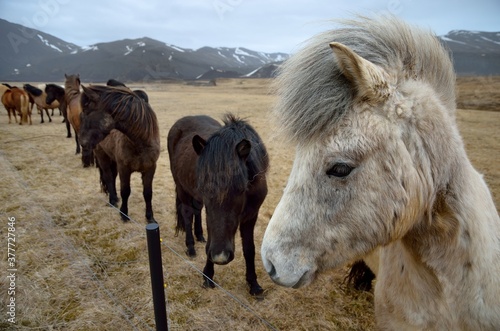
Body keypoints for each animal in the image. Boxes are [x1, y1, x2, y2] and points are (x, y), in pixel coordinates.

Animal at [79, 84, 160, 224]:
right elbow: (125, 191)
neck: (140, 143)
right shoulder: (124, 168)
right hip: (102, 157)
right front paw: (124, 214)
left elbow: (148, 193)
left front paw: (150, 217)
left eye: (86, 111)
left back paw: (115, 198)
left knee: (112, 177)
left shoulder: (150, 168)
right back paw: (112, 201)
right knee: (108, 177)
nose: (82, 143)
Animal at [168, 115, 270, 296]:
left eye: (241, 188)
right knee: (187, 213)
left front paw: (253, 284)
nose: (220, 257)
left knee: (196, 211)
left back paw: (199, 236)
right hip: (181, 188)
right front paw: (208, 276)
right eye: (203, 187)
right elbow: (212, 239)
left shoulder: (251, 215)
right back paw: (191, 246)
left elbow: (249, 249)